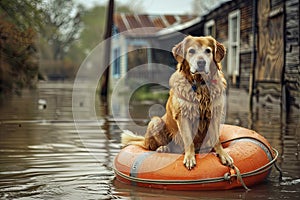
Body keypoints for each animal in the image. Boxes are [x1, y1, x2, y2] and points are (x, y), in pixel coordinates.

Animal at [120, 35, 233, 169]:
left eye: (208, 51)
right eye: (191, 51)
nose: (201, 63)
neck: (200, 85)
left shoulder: (214, 114)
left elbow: (216, 139)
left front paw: (223, 155)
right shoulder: (182, 116)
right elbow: (188, 140)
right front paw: (189, 158)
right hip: (155, 122)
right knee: (153, 147)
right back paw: (163, 148)